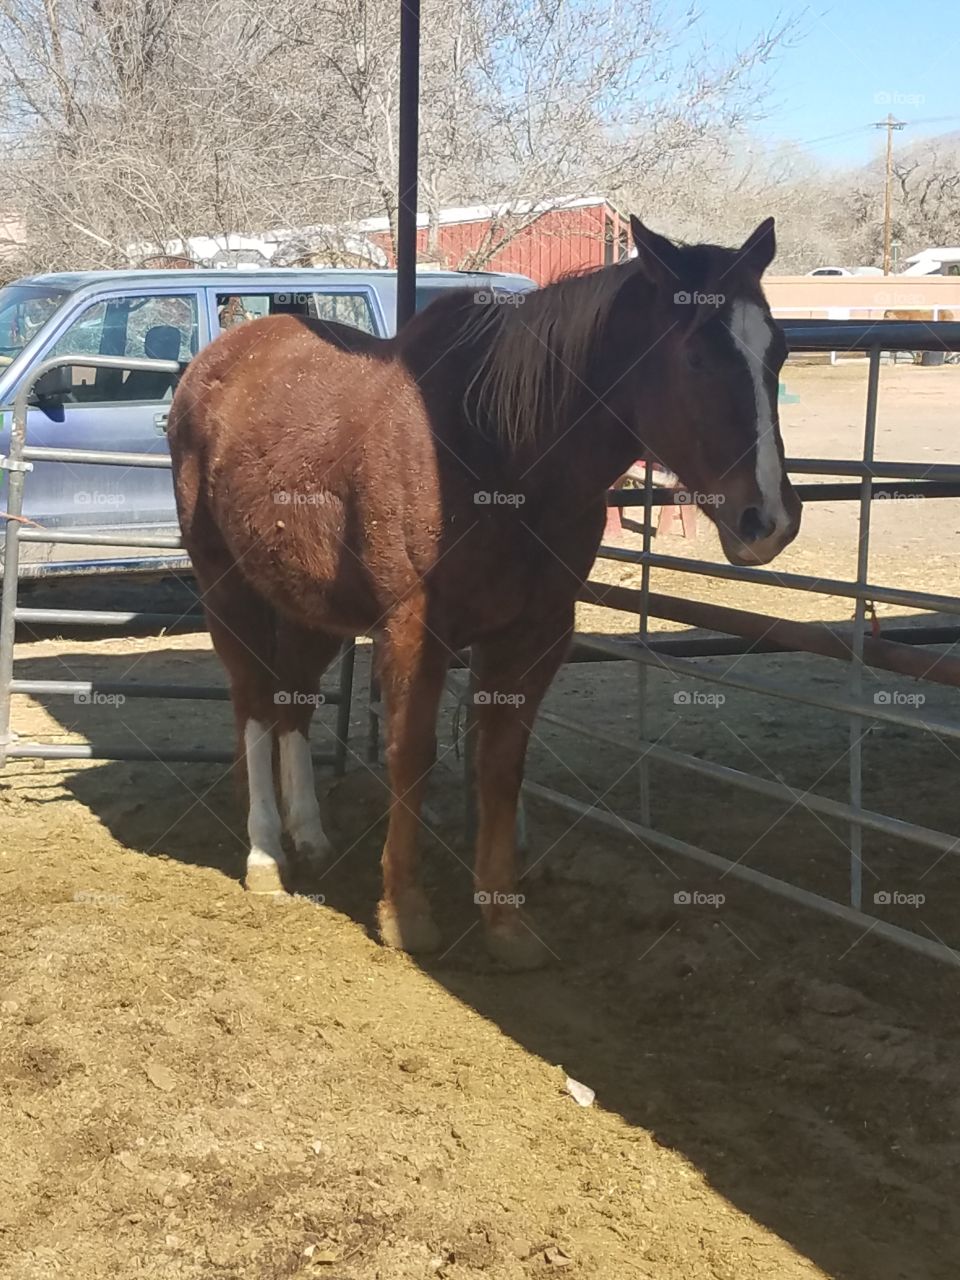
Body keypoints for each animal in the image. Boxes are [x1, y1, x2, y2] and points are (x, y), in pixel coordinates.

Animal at [167, 212, 803, 967]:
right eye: (697, 357)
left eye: (779, 353)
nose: (769, 520)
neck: (498, 447)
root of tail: (214, 363)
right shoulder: (414, 630)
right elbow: (410, 756)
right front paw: (404, 912)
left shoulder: (536, 634)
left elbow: (501, 765)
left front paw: (503, 923)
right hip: (226, 589)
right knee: (253, 703)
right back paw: (265, 855)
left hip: (307, 602)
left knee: (292, 698)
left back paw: (310, 836)